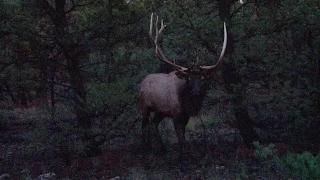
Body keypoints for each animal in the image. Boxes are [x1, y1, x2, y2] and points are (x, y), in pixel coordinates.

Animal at [139, 13, 226, 166]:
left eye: (202, 78)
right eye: (189, 78)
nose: (196, 91)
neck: (187, 104)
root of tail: (141, 83)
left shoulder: (185, 116)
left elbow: (184, 138)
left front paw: (185, 157)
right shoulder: (176, 114)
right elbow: (179, 138)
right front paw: (183, 161)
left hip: (160, 111)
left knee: (153, 124)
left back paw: (162, 148)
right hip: (144, 106)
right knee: (144, 125)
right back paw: (146, 148)